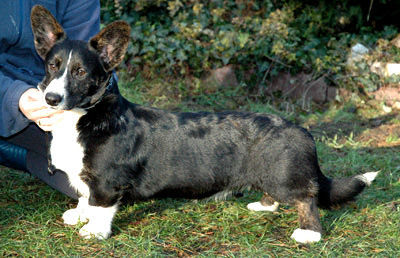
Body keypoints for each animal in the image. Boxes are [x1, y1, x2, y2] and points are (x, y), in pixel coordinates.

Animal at [31, 6, 378, 244]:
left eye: (81, 72)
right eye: (52, 66)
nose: (51, 98)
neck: (84, 115)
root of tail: (303, 131)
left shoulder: (107, 182)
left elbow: (100, 206)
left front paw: (94, 231)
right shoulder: (87, 180)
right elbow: (83, 196)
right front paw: (79, 215)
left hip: (284, 178)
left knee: (306, 199)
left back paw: (309, 234)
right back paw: (263, 206)